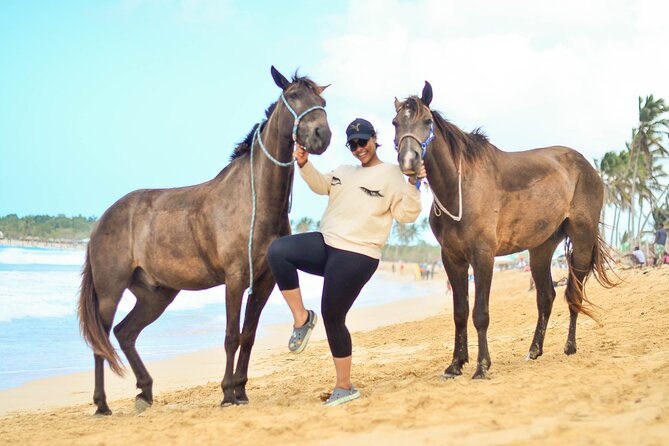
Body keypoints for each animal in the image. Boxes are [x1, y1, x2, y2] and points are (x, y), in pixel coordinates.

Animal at [79, 66, 332, 414]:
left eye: (323, 100)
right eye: (293, 96)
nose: (322, 135)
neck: (253, 199)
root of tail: (101, 222)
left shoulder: (264, 280)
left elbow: (248, 335)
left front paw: (241, 391)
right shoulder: (235, 279)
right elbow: (230, 336)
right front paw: (227, 394)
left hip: (156, 295)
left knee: (124, 333)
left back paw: (145, 393)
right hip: (109, 293)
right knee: (101, 340)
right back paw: (102, 404)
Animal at [392, 81, 616, 380]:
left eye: (427, 121)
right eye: (395, 123)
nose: (409, 160)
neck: (461, 189)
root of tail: (588, 166)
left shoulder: (483, 257)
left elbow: (480, 314)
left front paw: (481, 366)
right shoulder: (452, 259)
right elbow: (460, 313)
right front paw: (456, 364)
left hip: (581, 243)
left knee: (574, 294)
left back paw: (570, 346)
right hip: (540, 249)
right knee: (546, 297)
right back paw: (534, 350)